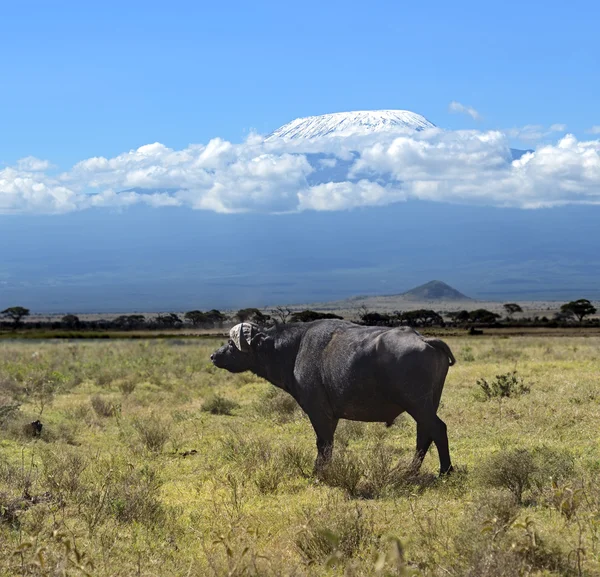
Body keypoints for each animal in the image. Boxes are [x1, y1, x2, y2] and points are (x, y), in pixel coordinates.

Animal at [211, 318, 454, 474]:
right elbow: (328, 444)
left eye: (231, 343)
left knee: (437, 429)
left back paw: (445, 470)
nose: (214, 355)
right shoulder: (332, 416)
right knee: (424, 434)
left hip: (417, 404)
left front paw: (318, 473)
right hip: (427, 405)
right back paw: (411, 470)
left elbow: (323, 443)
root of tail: (424, 340)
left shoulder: (318, 412)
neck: (293, 349)